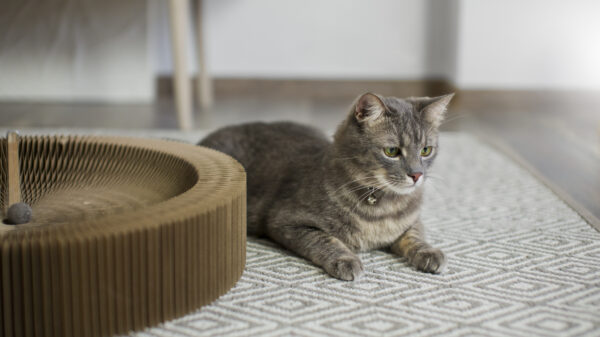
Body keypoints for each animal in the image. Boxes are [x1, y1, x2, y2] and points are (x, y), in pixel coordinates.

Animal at [199, 92, 452, 280]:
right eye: (392, 151)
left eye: (426, 150)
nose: (417, 174)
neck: (383, 207)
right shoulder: (286, 221)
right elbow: (325, 240)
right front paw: (346, 260)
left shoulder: (411, 220)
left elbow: (415, 235)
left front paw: (429, 252)